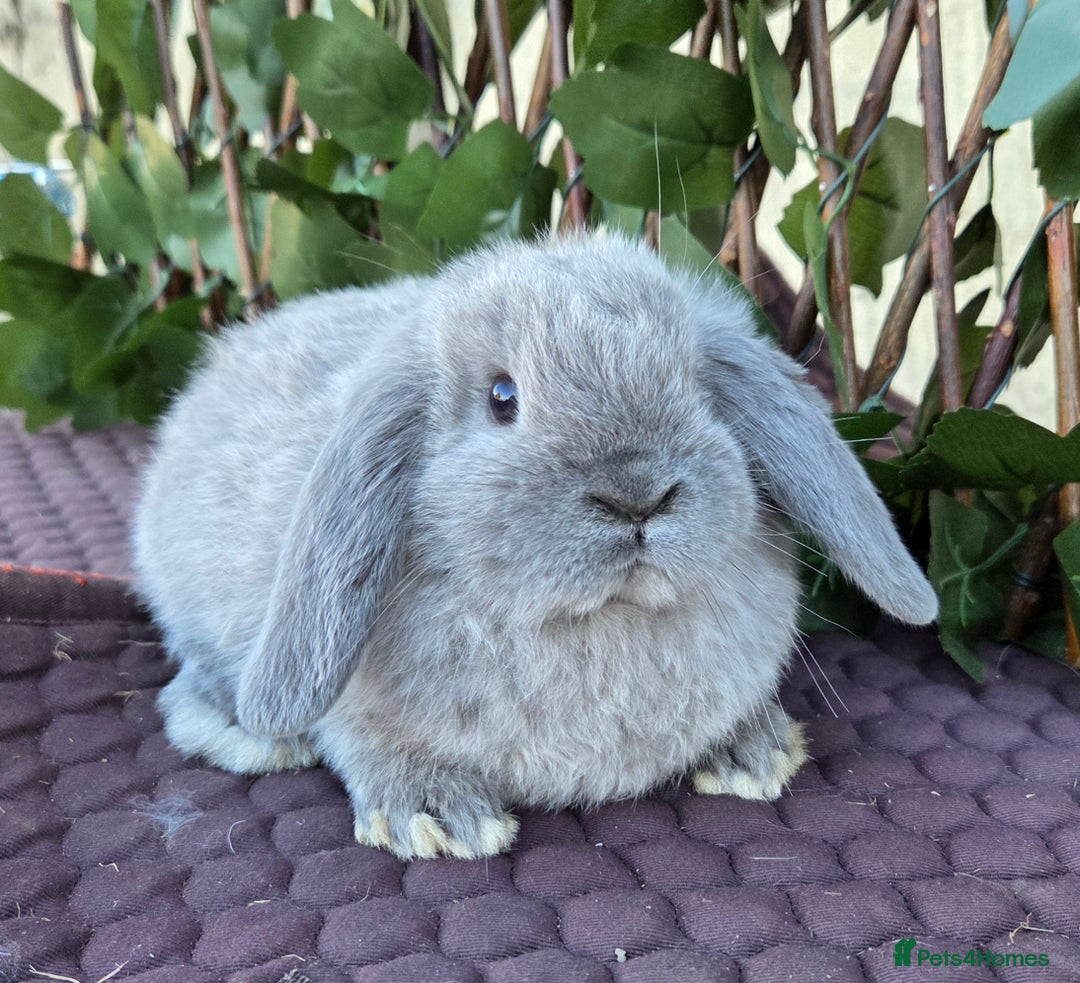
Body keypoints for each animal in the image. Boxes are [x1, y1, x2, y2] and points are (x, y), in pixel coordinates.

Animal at [132, 233, 938, 860]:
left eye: (697, 388)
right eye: (502, 398)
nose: (637, 495)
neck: (600, 623)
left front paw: (754, 751)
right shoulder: (352, 711)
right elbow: (367, 745)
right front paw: (435, 816)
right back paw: (254, 736)